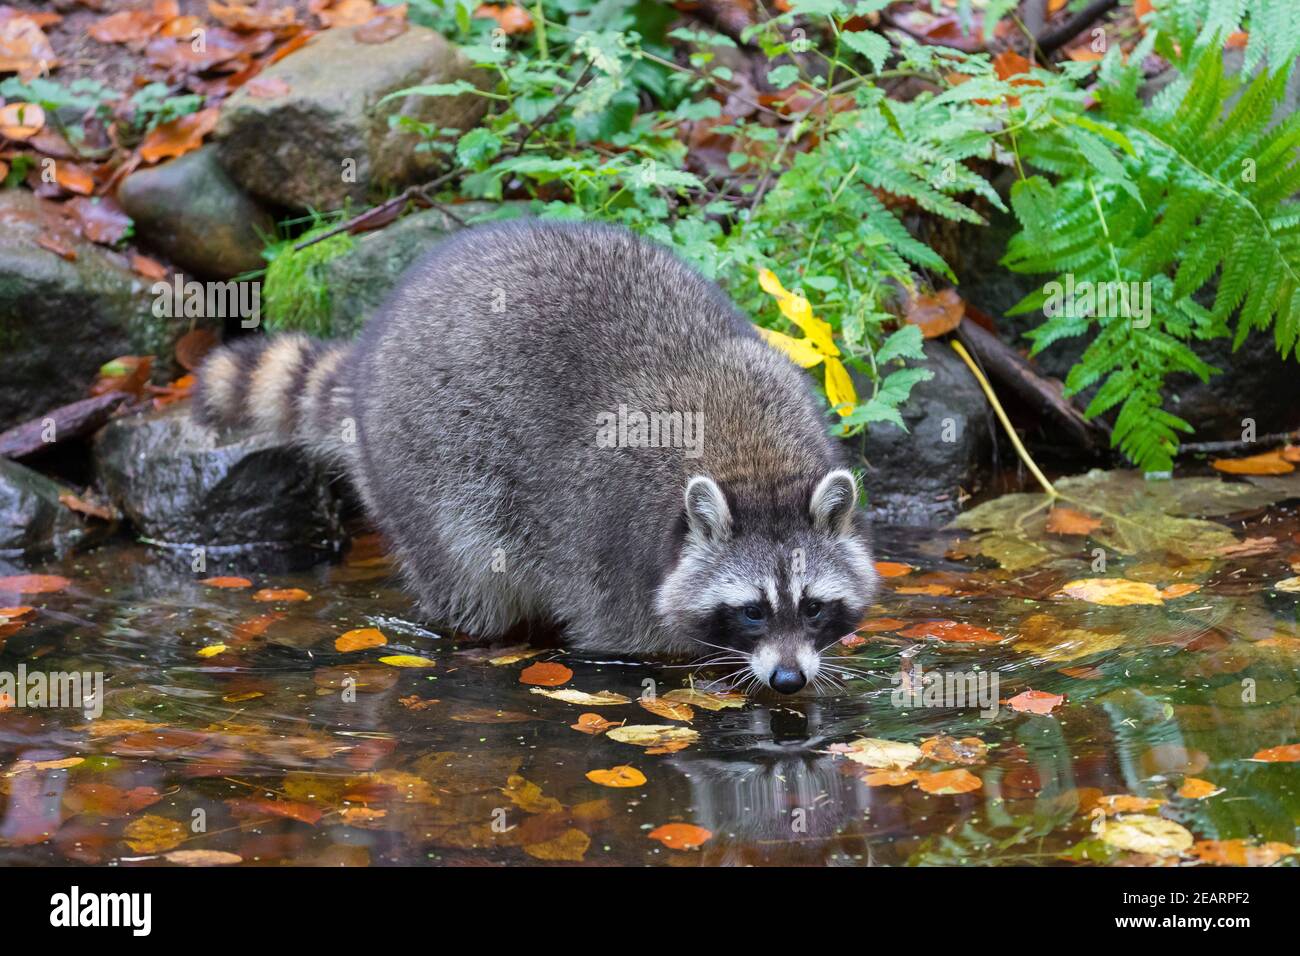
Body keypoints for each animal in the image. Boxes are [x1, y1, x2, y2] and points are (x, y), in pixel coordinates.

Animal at [195, 221, 883, 691]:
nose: (788, 680)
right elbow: (631, 640)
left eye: (814, 607)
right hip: (420, 461)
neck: (757, 466)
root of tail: (372, 349)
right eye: (751, 612)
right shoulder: (614, 549)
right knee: (467, 570)